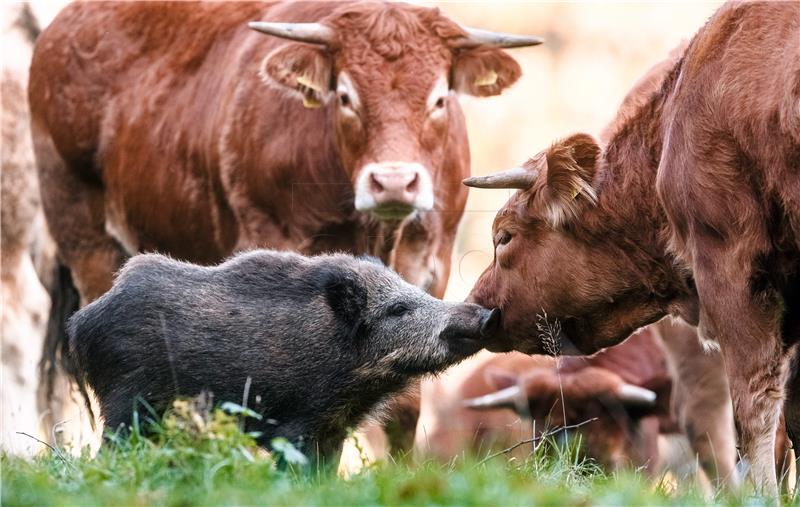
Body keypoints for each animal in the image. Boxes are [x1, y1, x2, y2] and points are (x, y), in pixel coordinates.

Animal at [67, 251, 500, 464]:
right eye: (397, 309)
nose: (486, 314)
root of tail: (80, 324)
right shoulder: (295, 425)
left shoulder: (333, 431)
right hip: (128, 404)